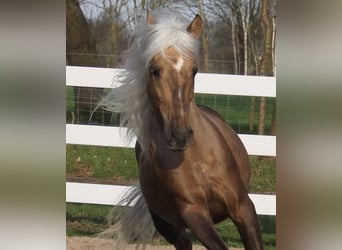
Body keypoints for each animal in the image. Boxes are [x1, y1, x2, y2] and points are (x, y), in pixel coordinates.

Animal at [99, 8, 264, 249]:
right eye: (155, 70)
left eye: (194, 70)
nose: (180, 136)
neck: (196, 158)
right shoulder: (194, 213)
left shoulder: (242, 206)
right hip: (167, 224)